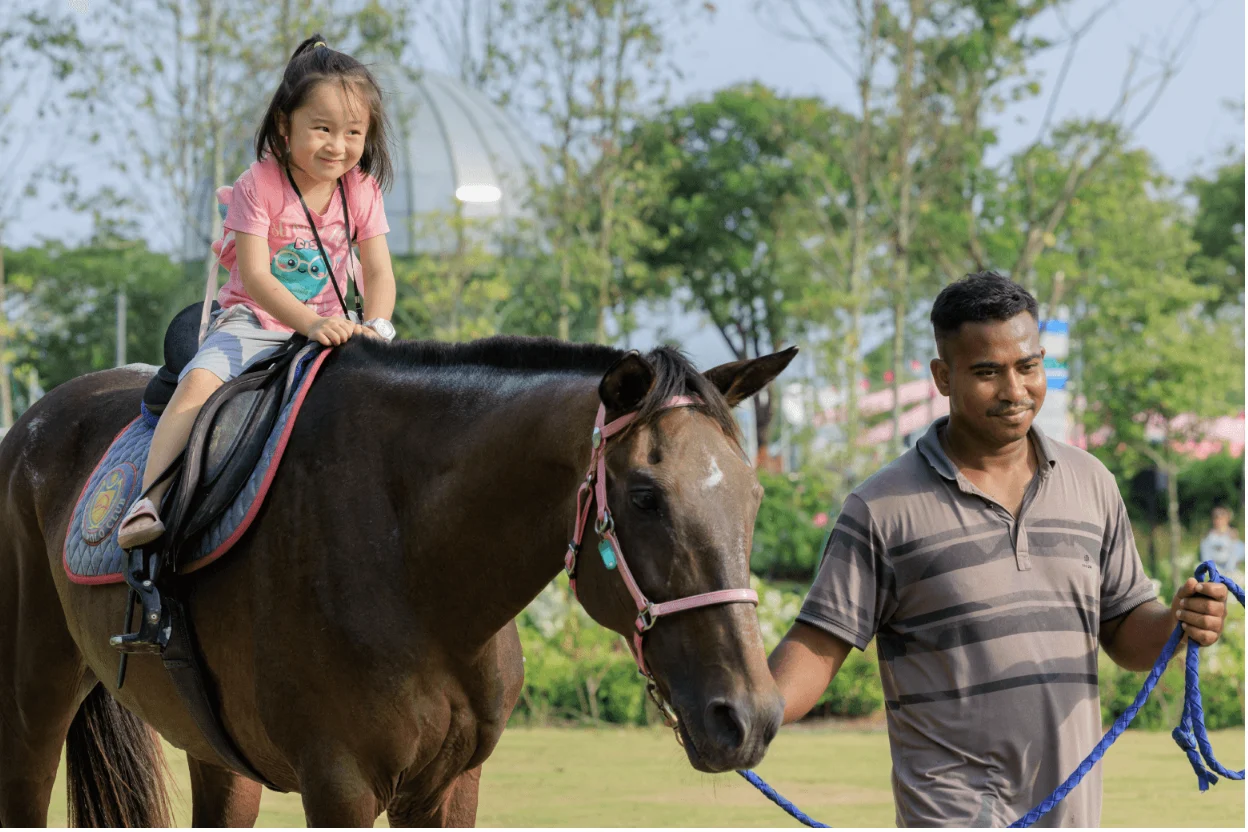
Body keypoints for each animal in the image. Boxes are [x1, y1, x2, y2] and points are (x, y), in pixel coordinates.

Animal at [0, 334, 796, 827]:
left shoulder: (448, 787)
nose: (748, 716)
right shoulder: (340, 786)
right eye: (644, 497)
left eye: (756, 496)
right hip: (32, 709)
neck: (418, 574)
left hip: (219, 754)